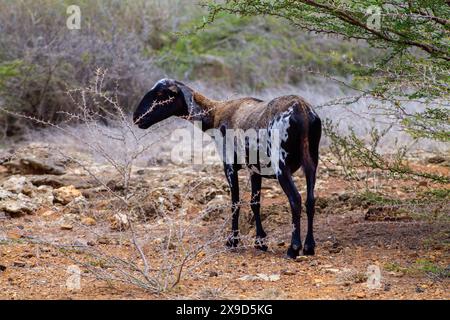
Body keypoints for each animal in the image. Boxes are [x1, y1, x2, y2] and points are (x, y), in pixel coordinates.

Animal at [132, 79, 322, 258]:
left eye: (161, 94)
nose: (136, 117)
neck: (215, 114)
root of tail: (302, 110)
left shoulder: (229, 165)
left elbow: (235, 203)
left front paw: (233, 241)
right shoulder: (254, 169)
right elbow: (255, 203)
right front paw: (260, 242)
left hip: (281, 164)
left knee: (295, 199)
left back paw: (293, 248)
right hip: (312, 161)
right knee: (310, 200)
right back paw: (309, 246)